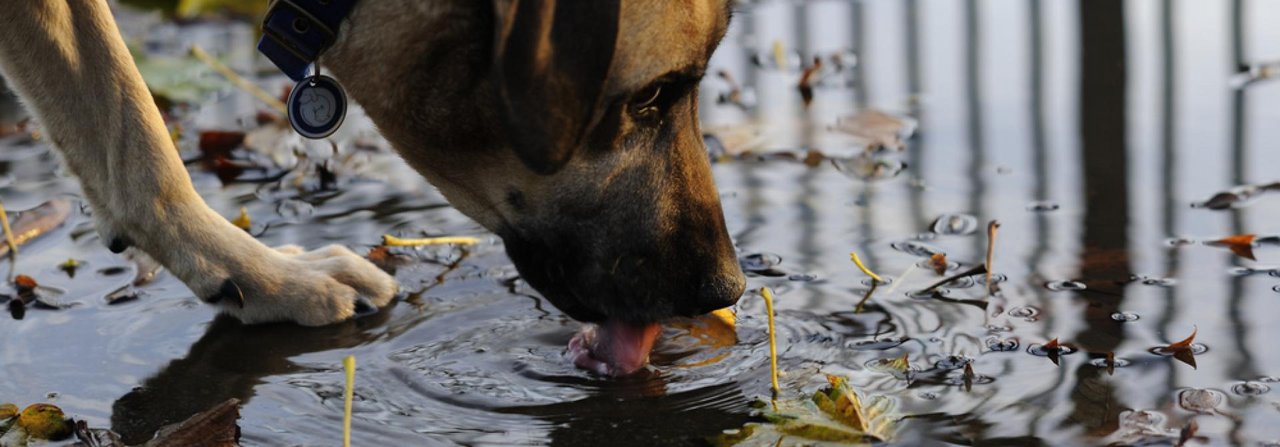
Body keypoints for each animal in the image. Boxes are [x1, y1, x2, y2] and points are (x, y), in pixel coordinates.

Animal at [0, 0, 742, 373]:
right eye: (650, 96)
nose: (728, 289)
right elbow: (142, 130)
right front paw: (266, 277)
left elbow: (117, 128)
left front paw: (258, 276)